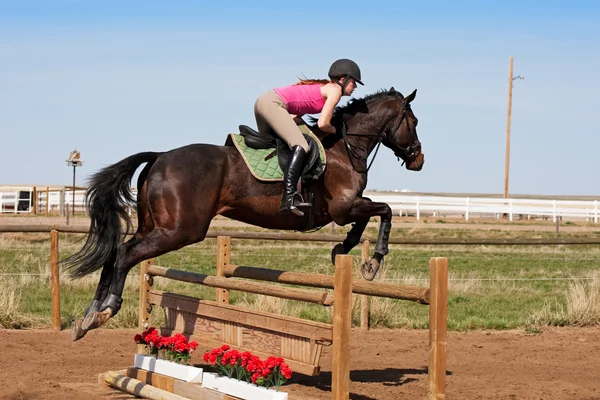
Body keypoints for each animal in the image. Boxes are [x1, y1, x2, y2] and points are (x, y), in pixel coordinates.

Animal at [63, 85, 422, 340]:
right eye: (414, 122)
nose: (419, 160)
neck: (345, 146)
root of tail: (160, 156)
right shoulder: (342, 208)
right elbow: (384, 211)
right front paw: (372, 260)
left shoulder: (346, 209)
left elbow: (369, 217)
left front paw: (344, 250)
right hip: (179, 230)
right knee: (124, 255)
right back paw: (107, 309)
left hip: (155, 226)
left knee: (115, 254)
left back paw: (88, 316)